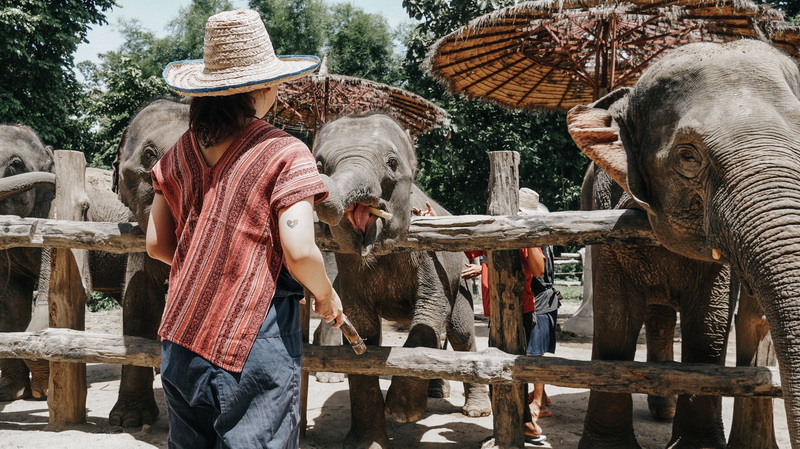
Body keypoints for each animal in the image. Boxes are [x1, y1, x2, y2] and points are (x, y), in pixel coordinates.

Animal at [0, 122, 129, 400]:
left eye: (15, 164)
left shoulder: (58, 217)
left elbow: (51, 294)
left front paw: (43, 391)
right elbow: (10, 301)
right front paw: (10, 393)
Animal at [314, 113, 494, 448]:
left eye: (392, 163)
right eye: (319, 164)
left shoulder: (430, 254)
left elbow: (431, 310)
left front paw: (403, 411)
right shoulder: (348, 263)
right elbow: (363, 328)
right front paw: (367, 443)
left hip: (462, 276)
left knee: (461, 332)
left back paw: (475, 411)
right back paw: (436, 391)